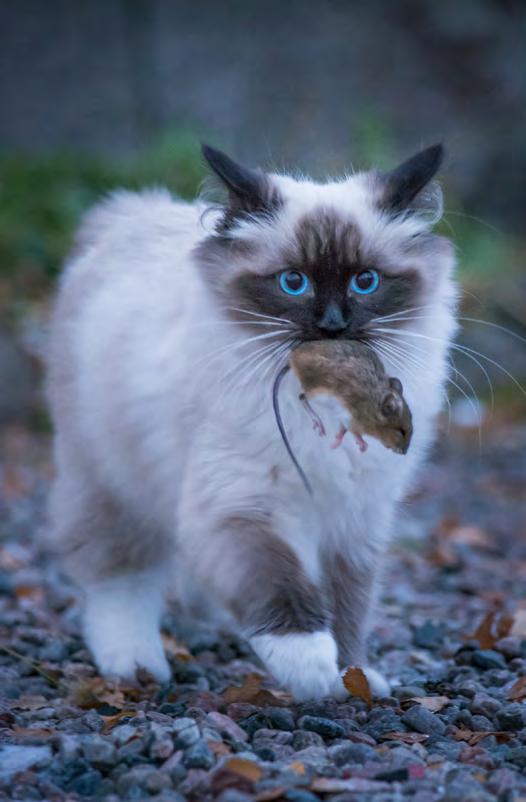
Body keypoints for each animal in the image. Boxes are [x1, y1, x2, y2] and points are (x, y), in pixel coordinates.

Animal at [45, 142, 458, 700]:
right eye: (293, 282)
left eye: (365, 281)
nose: (332, 326)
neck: (328, 401)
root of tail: (133, 208)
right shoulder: (241, 506)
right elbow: (279, 583)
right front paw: (311, 666)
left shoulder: (353, 522)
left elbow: (348, 607)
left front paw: (351, 677)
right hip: (113, 480)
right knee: (117, 575)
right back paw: (134, 664)